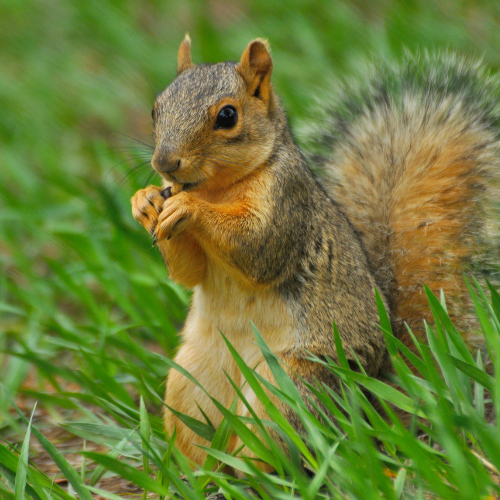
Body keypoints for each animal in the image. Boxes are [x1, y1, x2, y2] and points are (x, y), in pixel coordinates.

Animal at [132, 36, 500, 468]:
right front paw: (144, 201)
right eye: (156, 108)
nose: (164, 162)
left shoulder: (289, 202)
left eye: (227, 116)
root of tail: (372, 404)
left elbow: (258, 249)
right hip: (191, 383)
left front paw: (189, 208)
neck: (217, 188)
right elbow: (189, 272)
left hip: (291, 386)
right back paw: (197, 473)